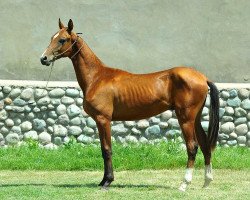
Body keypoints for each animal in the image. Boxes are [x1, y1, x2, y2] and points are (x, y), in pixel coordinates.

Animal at [40, 19, 219, 191]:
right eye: (52, 37)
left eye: (62, 39)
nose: (44, 58)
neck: (97, 77)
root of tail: (202, 78)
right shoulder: (100, 121)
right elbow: (103, 149)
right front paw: (103, 180)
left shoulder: (103, 119)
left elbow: (107, 150)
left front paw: (107, 182)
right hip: (194, 119)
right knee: (205, 145)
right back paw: (207, 181)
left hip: (186, 119)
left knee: (192, 147)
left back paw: (184, 184)